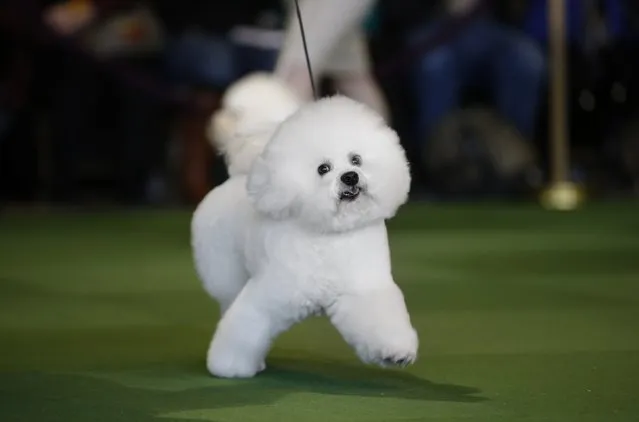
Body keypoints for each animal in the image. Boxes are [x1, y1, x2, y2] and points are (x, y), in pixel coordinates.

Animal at [192, 76, 418, 380]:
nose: (350, 177)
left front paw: (395, 353)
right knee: (228, 304)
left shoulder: (361, 290)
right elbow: (245, 326)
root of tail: (238, 177)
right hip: (226, 272)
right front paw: (228, 366)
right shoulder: (270, 294)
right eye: (323, 168)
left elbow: (379, 319)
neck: (329, 236)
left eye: (356, 159)